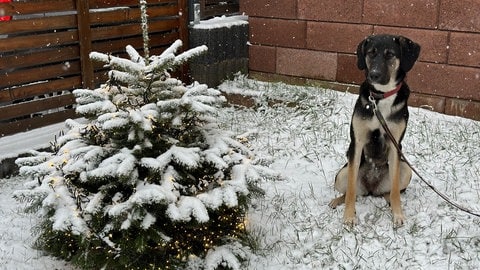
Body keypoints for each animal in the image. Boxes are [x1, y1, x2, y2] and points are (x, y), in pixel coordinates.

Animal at [330, 34, 420, 227]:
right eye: (370, 53)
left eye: (390, 54)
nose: (374, 75)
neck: (381, 97)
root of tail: (371, 189)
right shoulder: (356, 143)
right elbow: (351, 190)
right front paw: (349, 216)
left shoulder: (395, 145)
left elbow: (395, 190)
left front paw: (398, 214)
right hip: (341, 174)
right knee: (351, 191)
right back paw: (336, 201)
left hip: (406, 169)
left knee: (390, 191)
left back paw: (388, 201)